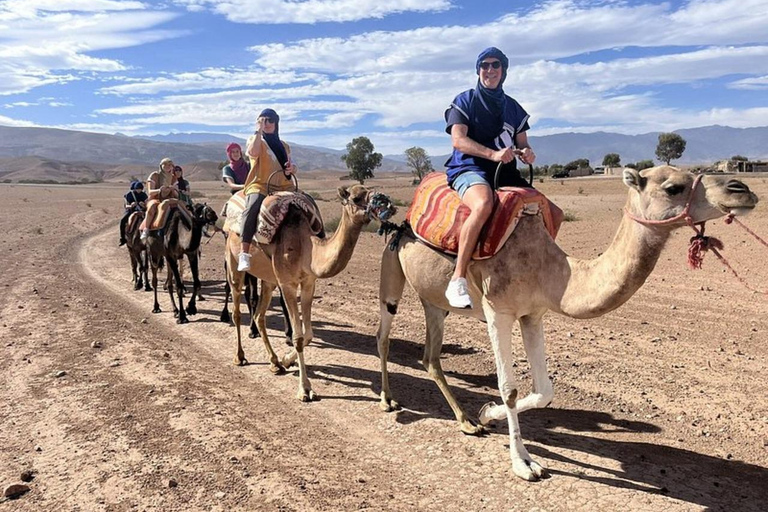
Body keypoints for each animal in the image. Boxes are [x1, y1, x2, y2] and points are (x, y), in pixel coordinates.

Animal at [225, 186, 396, 402]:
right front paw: (305, 389)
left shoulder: (308, 283)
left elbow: (308, 335)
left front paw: (287, 360)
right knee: (237, 311)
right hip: (234, 265)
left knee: (259, 316)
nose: (387, 205)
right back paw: (239, 357)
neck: (306, 247)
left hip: (269, 280)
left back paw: (274, 363)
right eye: (357, 197)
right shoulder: (287, 284)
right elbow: (298, 337)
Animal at [376, 166, 760, 482]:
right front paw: (523, 463)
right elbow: (509, 387)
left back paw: (467, 422)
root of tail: (403, 218)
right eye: (673, 187)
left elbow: (545, 390)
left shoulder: (533, 314)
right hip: (392, 264)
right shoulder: (498, 311)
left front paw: (486, 414)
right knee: (384, 335)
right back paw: (388, 401)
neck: (550, 268)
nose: (742, 189)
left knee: (430, 356)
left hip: (434, 303)